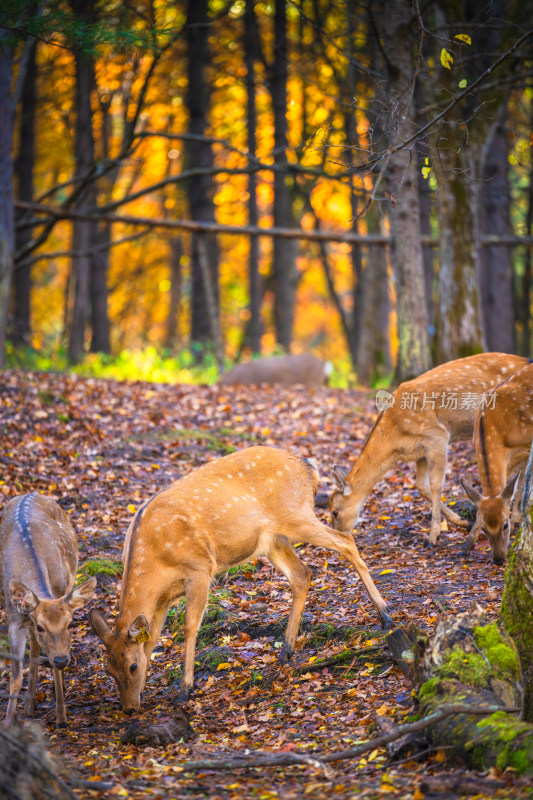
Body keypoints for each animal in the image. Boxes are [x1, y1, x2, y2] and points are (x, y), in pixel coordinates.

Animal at [0, 490, 95, 728]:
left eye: (71, 623)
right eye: (42, 627)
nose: (62, 660)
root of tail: (31, 492)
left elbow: (54, 667)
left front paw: (62, 718)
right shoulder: (14, 618)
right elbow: (15, 677)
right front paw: (8, 722)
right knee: (34, 646)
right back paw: (30, 705)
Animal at [89, 444, 390, 712]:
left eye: (132, 666)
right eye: (109, 670)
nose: (129, 709)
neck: (153, 555)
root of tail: (309, 466)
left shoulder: (199, 568)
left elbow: (189, 626)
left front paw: (185, 690)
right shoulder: (163, 598)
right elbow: (152, 640)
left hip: (295, 514)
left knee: (346, 541)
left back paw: (385, 615)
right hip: (272, 539)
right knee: (302, 574)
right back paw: (286, 651)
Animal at [328, 354, 528, 548]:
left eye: (334, 512)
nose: (339, 535)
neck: (396, 440)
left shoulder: (437, 436)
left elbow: (436, 485)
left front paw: (433, 536)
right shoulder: (420, 452)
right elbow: (421, 486)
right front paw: (462, 522)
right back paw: (514, 518)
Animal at [458, 360, 532, 564]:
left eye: (504, 525)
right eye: (485, 528)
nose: (498, 559)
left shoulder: (527, 445)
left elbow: (521, 485)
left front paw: (517, 521)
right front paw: (466, 546)